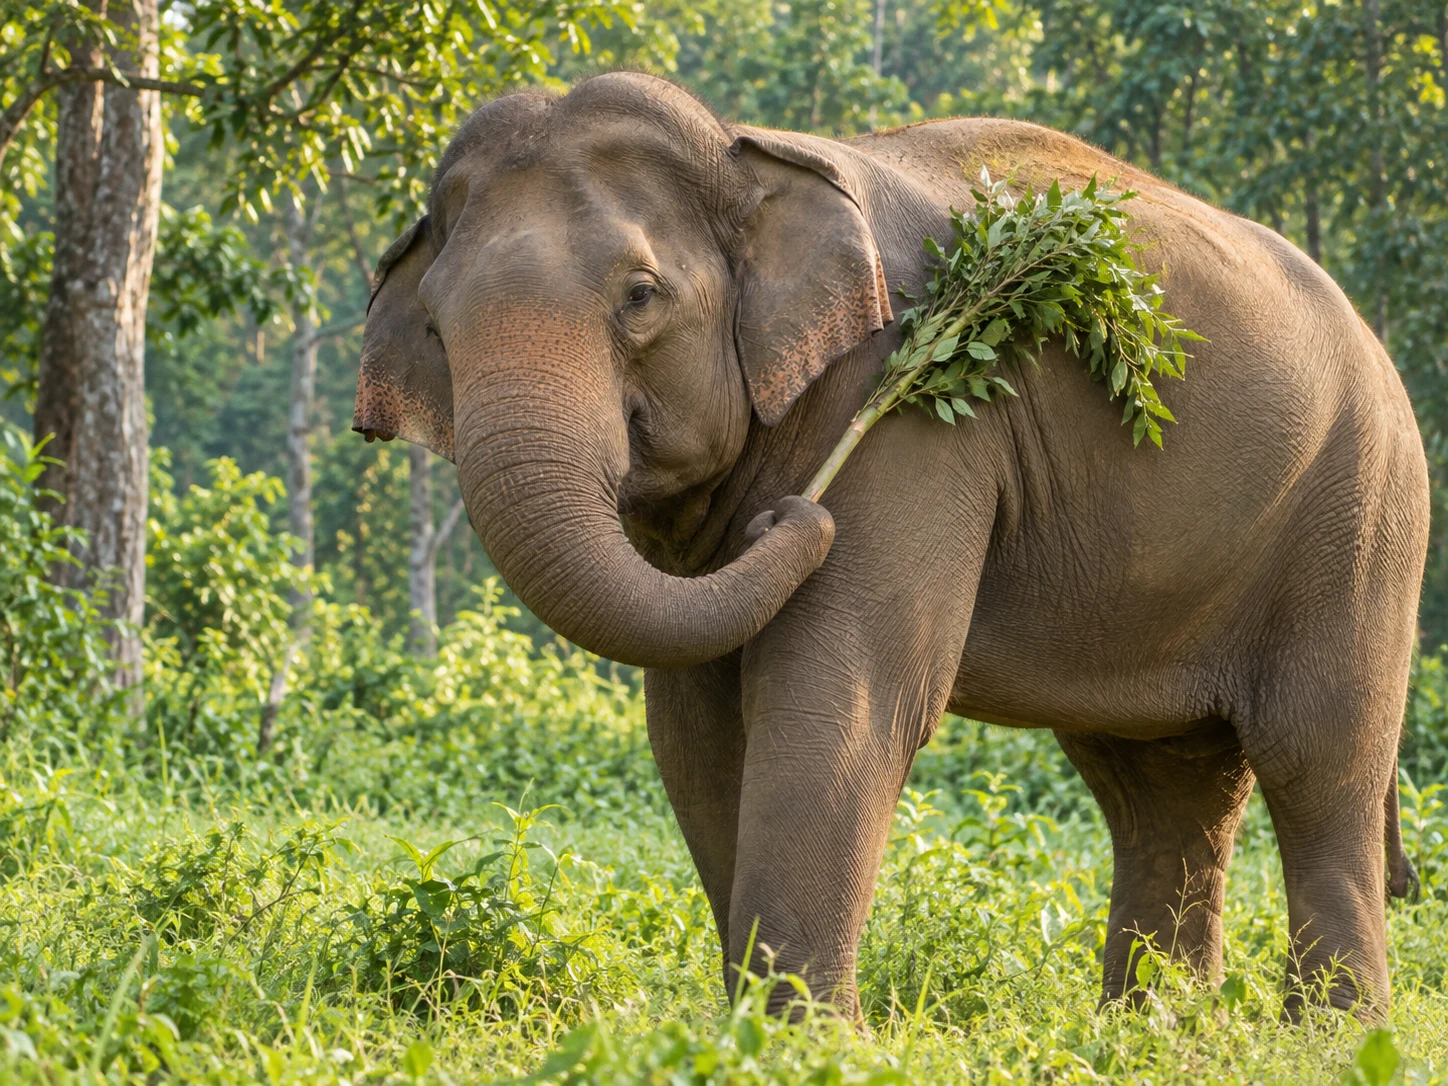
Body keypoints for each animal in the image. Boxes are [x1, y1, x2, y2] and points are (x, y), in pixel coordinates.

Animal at [353, 72, 1428, 1020]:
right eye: (437, 327)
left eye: (640, 296)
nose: (793, 518)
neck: (745, 152)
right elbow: (693, 725)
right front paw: (750, 1030)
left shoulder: (908, 413)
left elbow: (846, 690)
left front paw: (802, 1040)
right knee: (1160, 786)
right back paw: (1152, 1033)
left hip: (1359, 517)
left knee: (1315, 759)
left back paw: (1328, 1036)